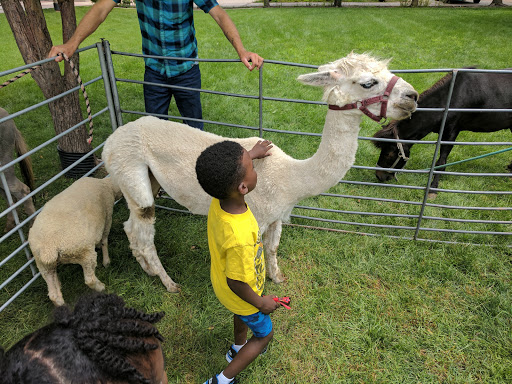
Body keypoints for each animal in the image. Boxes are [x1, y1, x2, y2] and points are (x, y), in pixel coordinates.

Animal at [28, 177, 122, 306]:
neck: (107, 184)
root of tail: (49, 248)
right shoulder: (107, 217)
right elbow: (104, 241)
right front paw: (106, 261)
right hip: (84, 253)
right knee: (89, 279)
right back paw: (101, 287)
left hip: (44, 266)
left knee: (53, 294)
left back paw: (61, 304)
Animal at [102, 51, 418, 292]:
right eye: (368, 82)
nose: (413, 95)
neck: (290, 177)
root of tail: (111, 140)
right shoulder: (257, 216)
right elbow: (252, 258)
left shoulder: (277, 216)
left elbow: (273, 248)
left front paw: (278, 277)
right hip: (130, 168)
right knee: (144, 231)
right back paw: (169, 283)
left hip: (146, 179)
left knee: (131, 227)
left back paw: (148, 270)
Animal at [372, 68, 512, 195]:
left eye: (389, 153)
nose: (379, 176)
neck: (452, 97)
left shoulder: (451, 132)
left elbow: (441, 161)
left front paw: (433, 187)